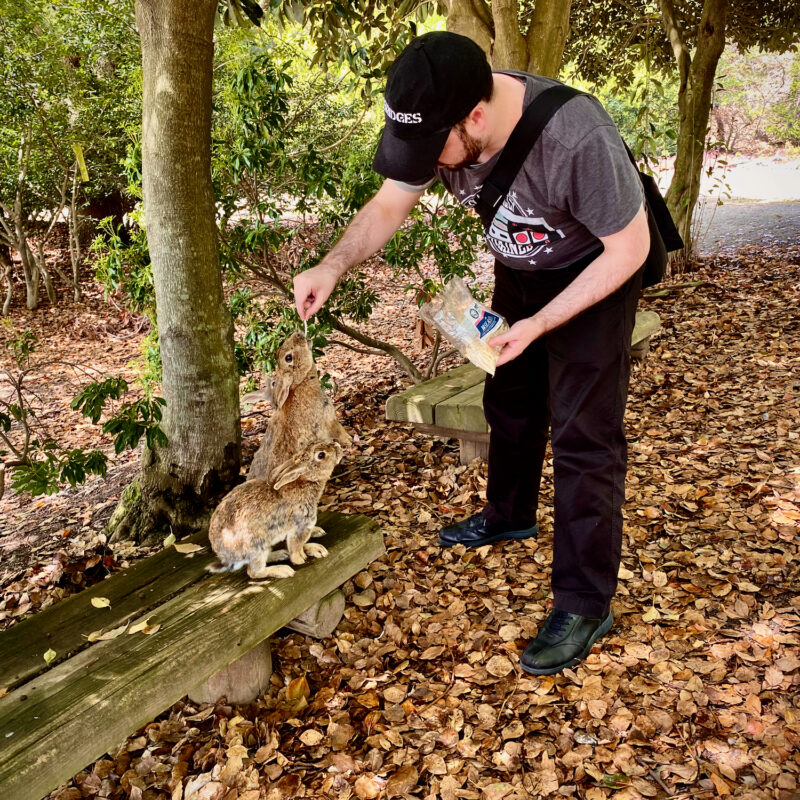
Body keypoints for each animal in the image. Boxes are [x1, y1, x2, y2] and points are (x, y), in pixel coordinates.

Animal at [209, 440, 344, 580]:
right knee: (254, 572)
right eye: (321, 455)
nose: (338, 446)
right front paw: (300, 559)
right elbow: (296, 546)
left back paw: (281, 554)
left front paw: (314, 543)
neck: (306, 481)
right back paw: (283, 569)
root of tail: (223, 554)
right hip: (257, 545)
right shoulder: (301, 526)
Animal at [248, 332, 351, 481]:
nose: (298, 333)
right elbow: (339, 432)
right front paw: (350, 441)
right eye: (288, 357)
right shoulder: (329, 420)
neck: (302, 382)